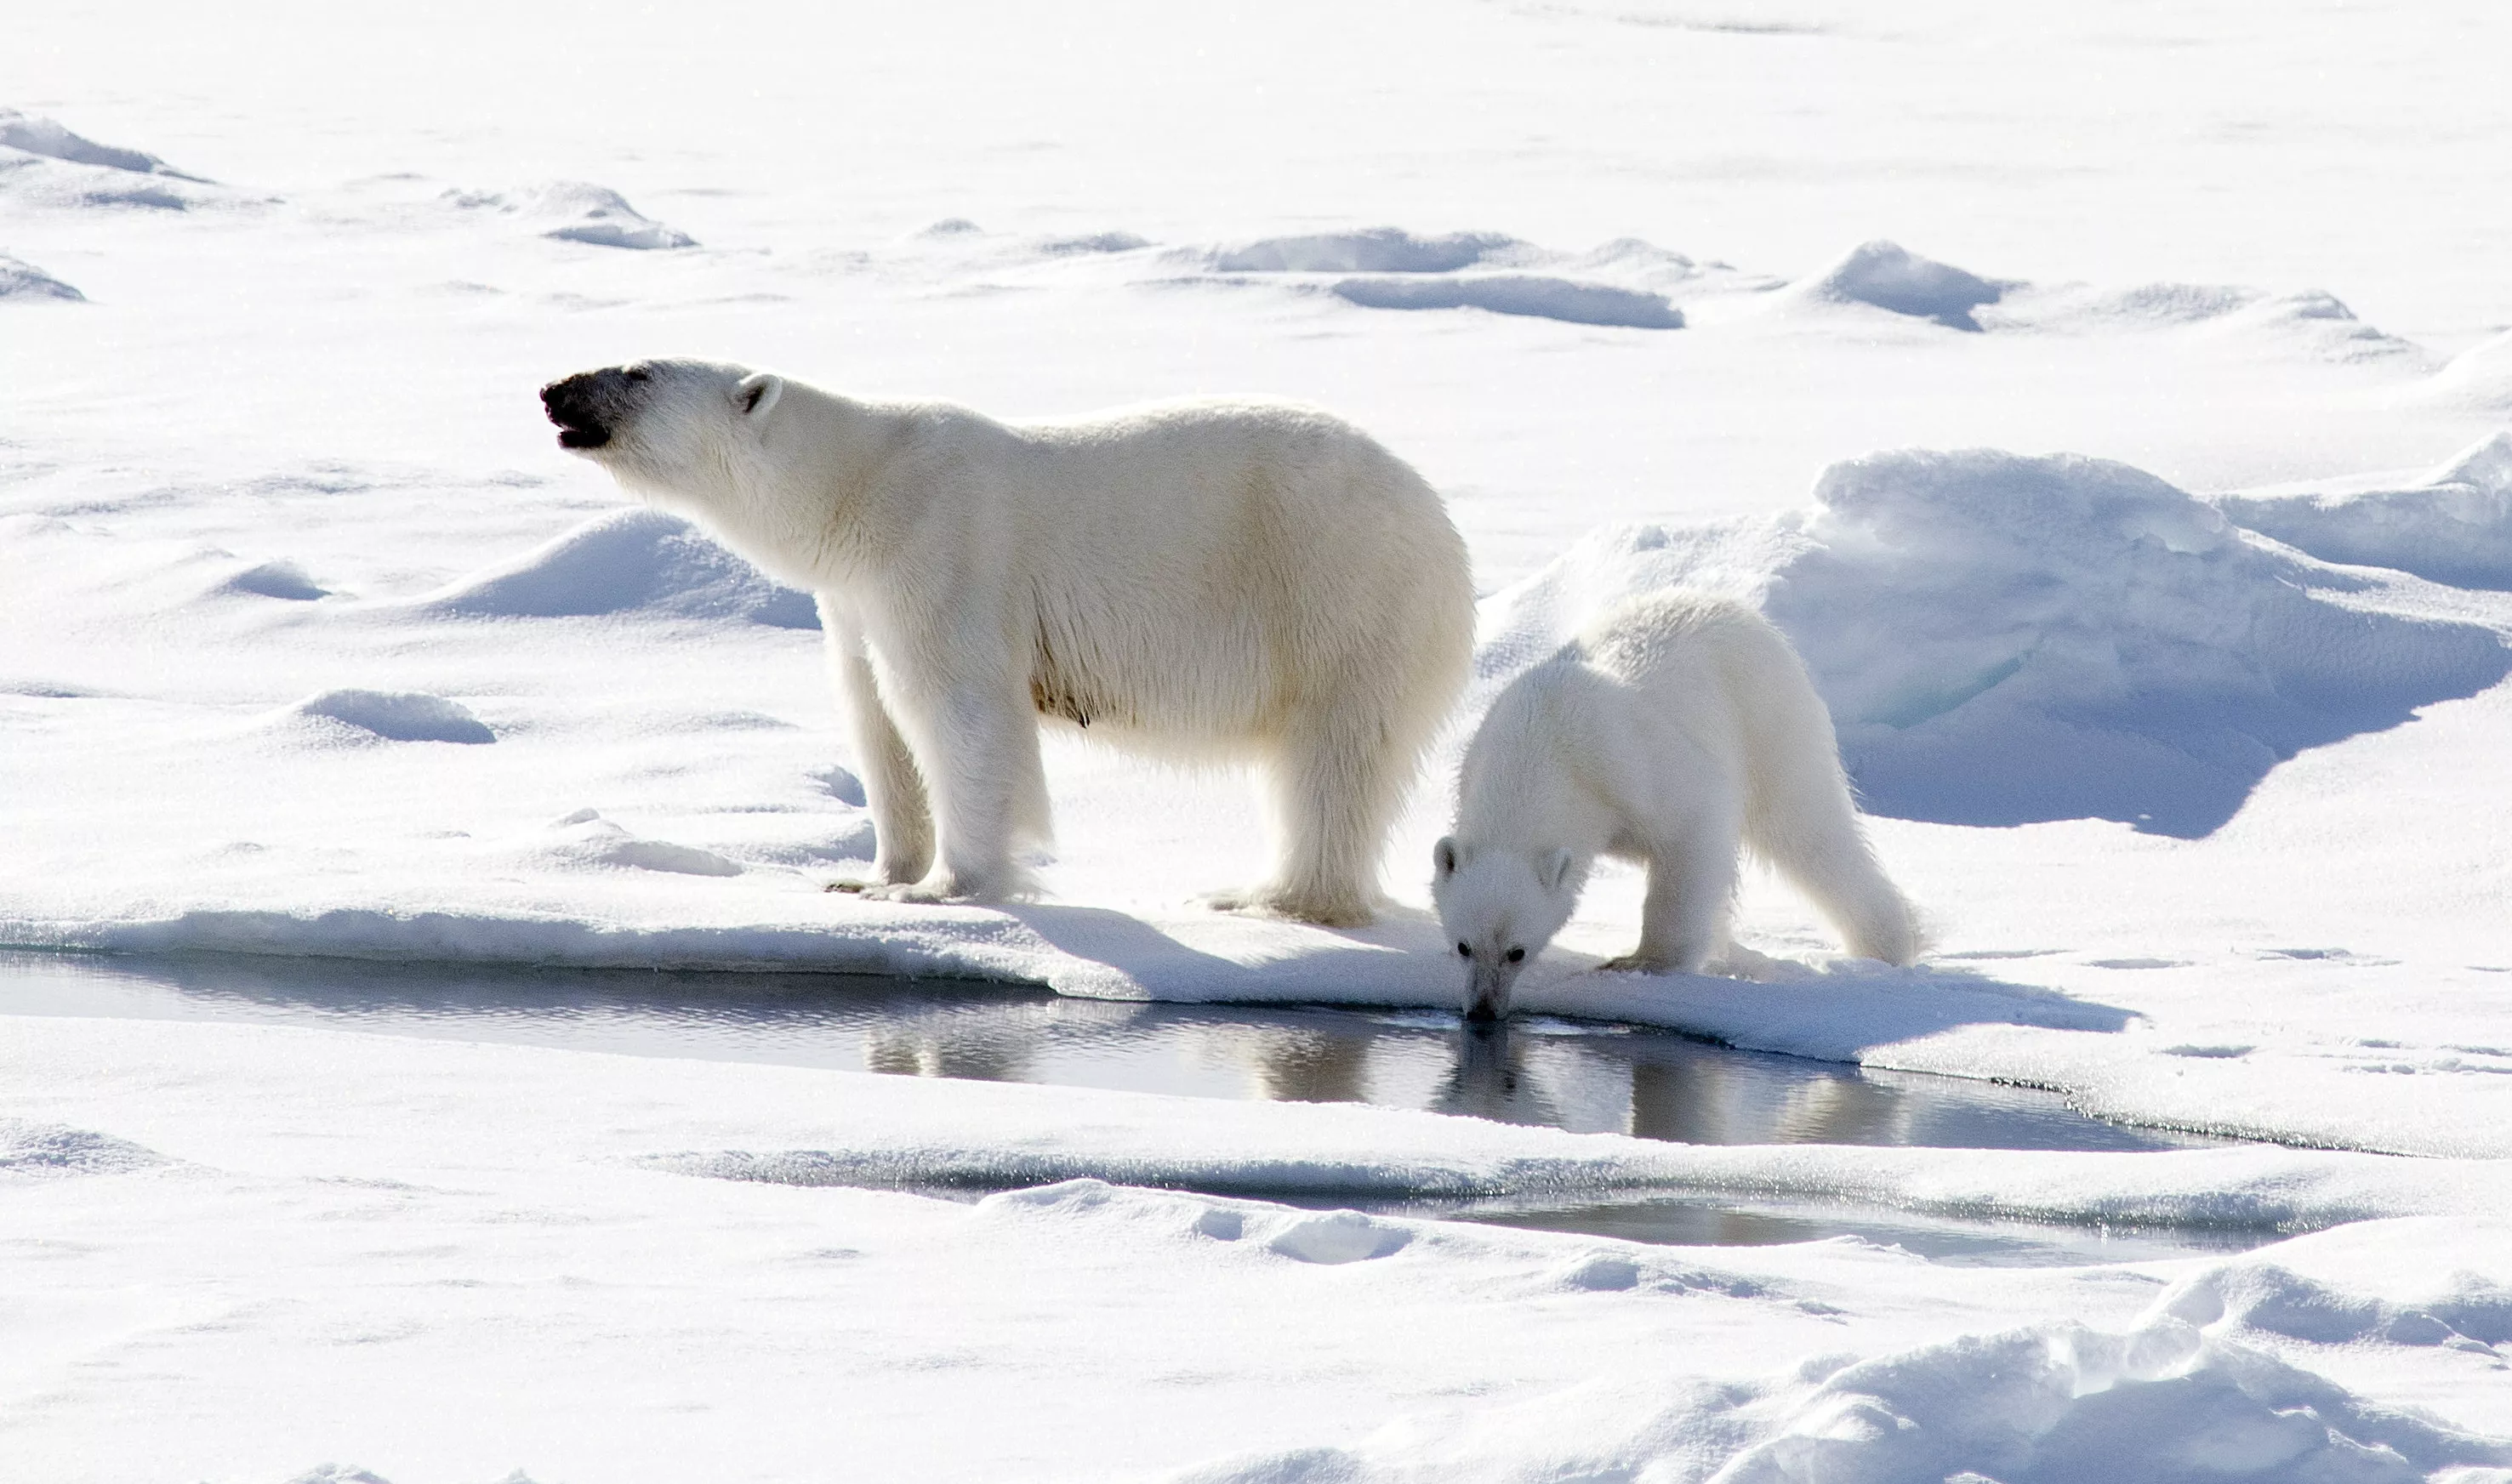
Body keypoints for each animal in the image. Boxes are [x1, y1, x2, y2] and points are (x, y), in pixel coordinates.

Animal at [534, 356, 1467, 918]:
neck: (855, 485)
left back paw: (1265, 896)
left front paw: (944, 888)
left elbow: (956, 711)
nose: (552, 390)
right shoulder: (854, 600)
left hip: (1340, 594)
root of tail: (1445, 530)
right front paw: (869, 873)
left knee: (1330, 757)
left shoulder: (942, 550)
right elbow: (874, 719)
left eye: (636, 370)